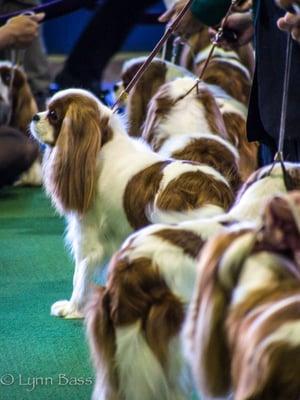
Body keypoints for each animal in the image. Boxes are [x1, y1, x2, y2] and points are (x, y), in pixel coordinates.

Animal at [29, 88, 233, 318]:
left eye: (53, 115)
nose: (35, 116)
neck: (102, 145)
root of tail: (213, 192)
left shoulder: (88, 234)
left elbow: (80, 273)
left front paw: (72, 307)